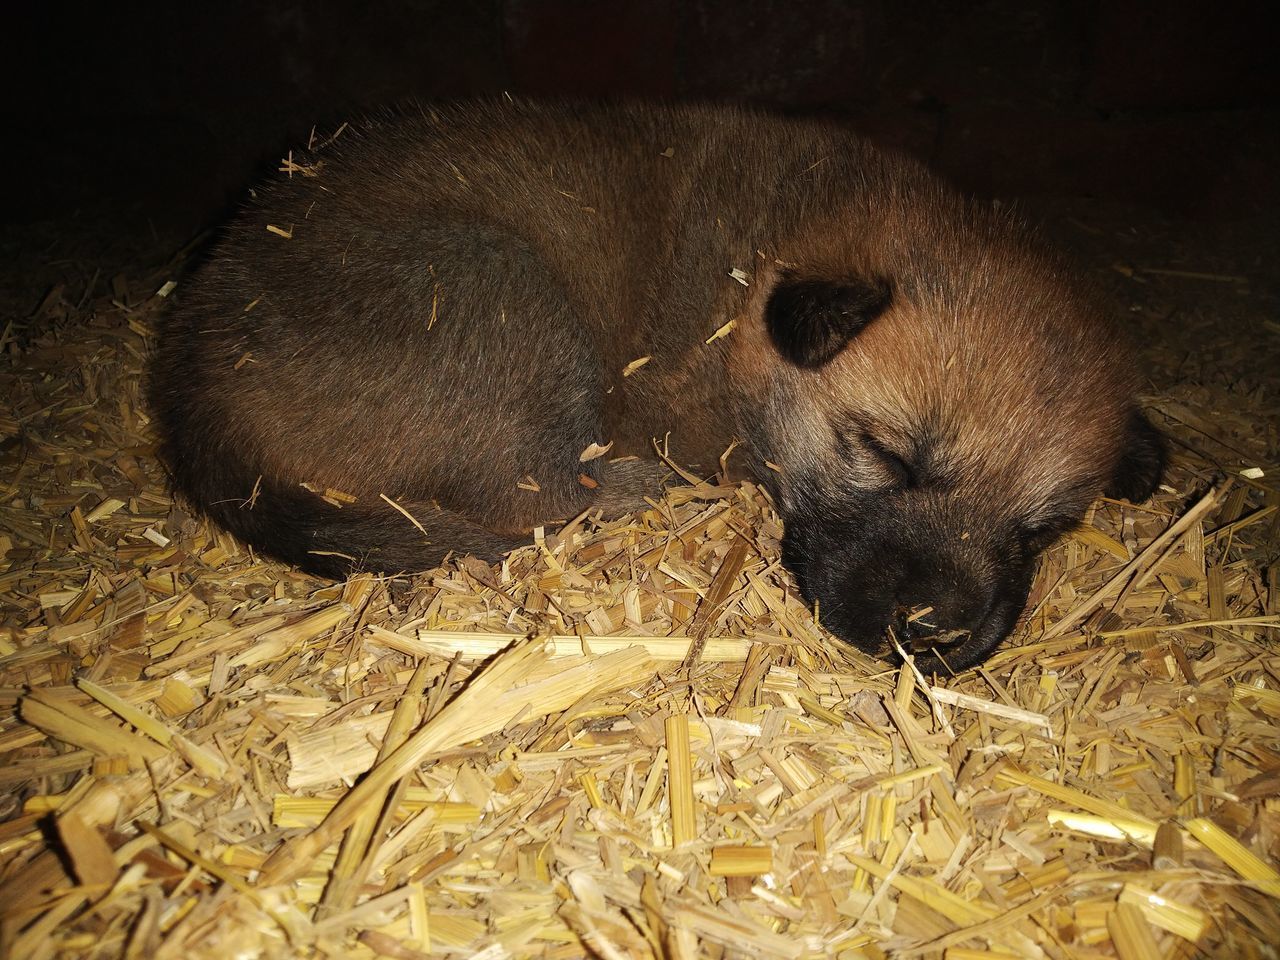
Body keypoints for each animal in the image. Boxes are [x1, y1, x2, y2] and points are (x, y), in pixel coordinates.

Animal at [152, 97, 1172, 670]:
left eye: (1042, 530)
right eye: (887, 456)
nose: (939, 635)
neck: (749, 286)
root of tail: (192, 392)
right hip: (501, 292)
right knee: (534, 493)